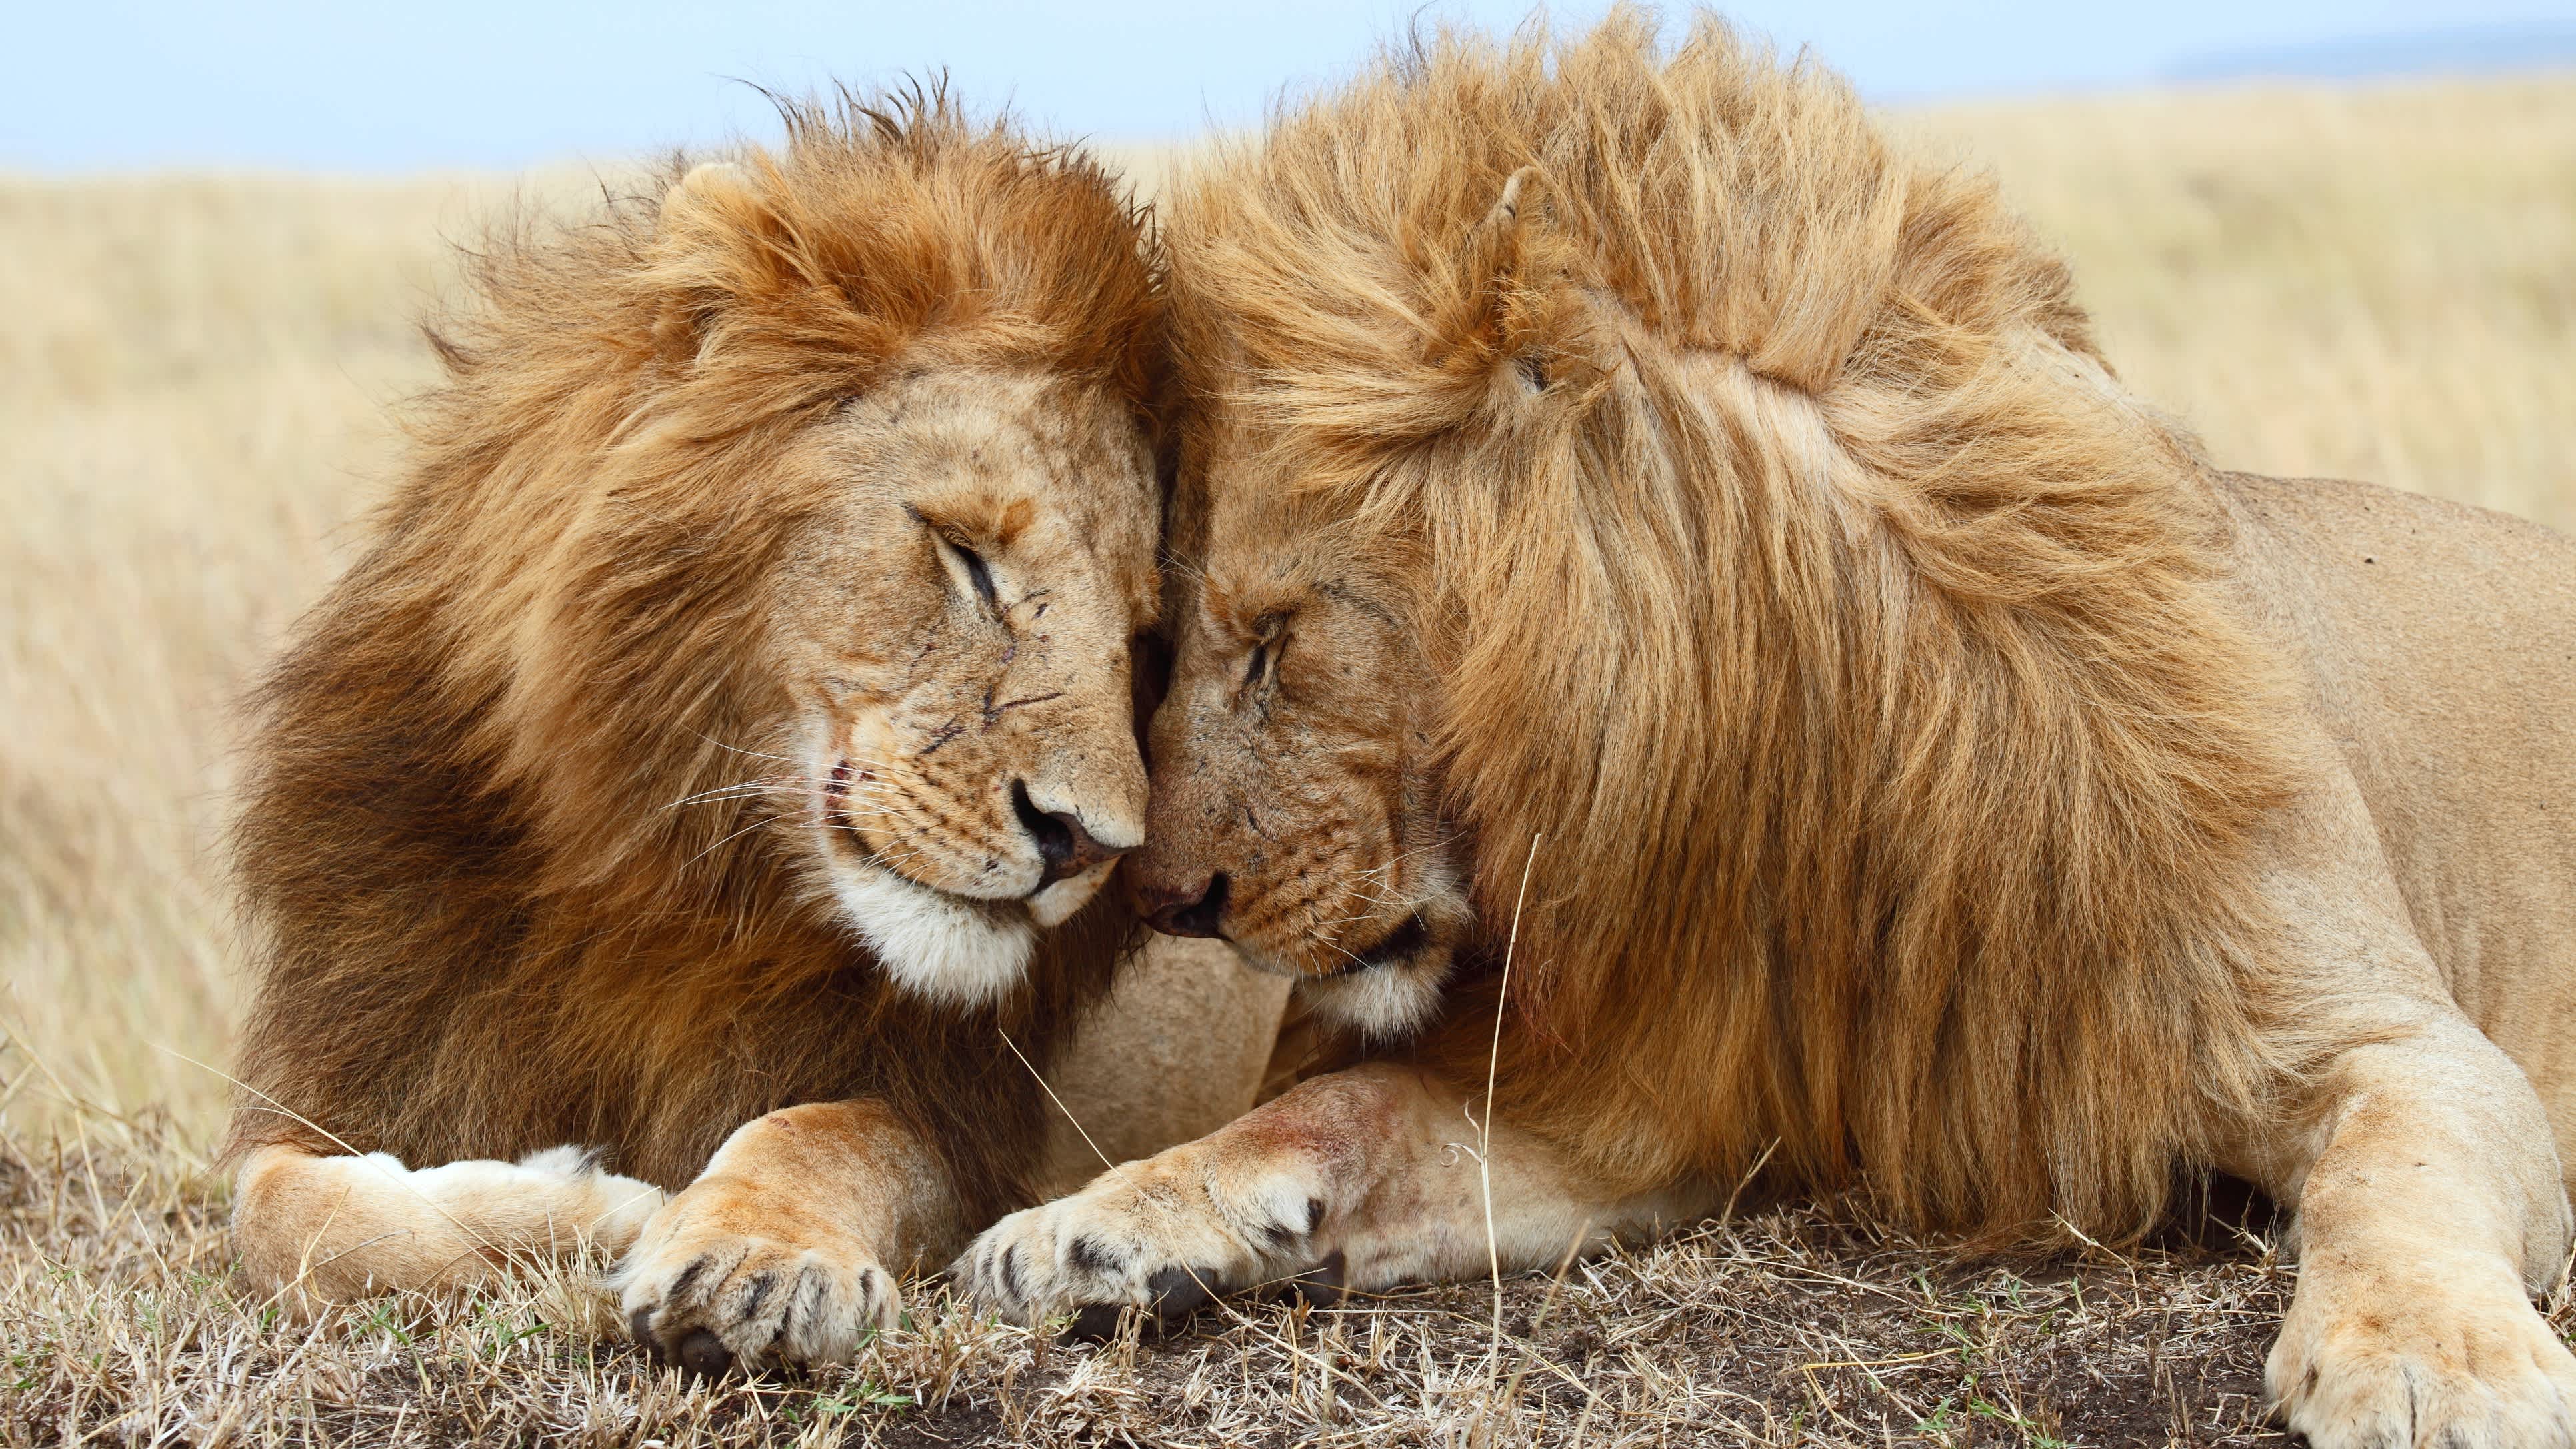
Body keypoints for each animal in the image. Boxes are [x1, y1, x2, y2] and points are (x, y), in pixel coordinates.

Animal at [219, 96, 1288, 1372]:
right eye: (966, 557)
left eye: (1138, 640)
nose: (1087, 842)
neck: (666, 874)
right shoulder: (357, 1063)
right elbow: (279, 1210)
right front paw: (585, 1206)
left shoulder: (959, 1118)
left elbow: (821, 1129)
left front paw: (745, 1254)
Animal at [963, 17, 2576, 1433]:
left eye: (1277, 639)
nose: (1164, 900)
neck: (1808, 752)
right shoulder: (1650, 1093)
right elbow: (1340, 1108)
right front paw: (1093, 1223)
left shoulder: (2386, 1033)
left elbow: (2394, 1170)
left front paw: (2428, 1364)